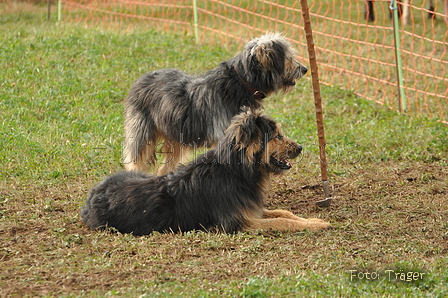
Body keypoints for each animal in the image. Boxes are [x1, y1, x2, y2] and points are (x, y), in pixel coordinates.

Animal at [82, 107, 330, 235]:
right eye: (277, 136)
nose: (300, 147)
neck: (236, 170)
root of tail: (92, 195)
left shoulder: (250, 210)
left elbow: (283, 213)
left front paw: (311, 219)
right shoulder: (238, 222)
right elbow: (282, 222)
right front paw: (314, 225)